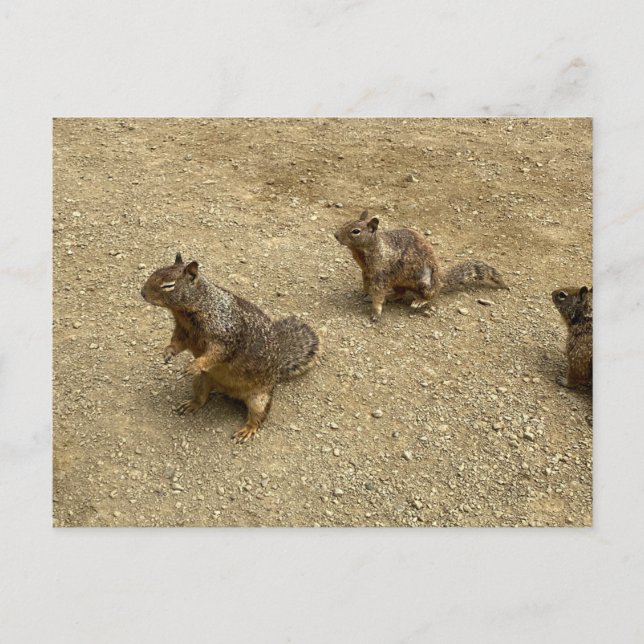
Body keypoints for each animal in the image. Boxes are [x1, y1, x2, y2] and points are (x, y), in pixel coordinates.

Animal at [141, 253, 320, 442]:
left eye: (168, 285)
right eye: (155, 272)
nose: (142, 293)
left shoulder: (225, 338)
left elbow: (215, 354)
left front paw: (195, 365)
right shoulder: (183, 333)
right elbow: (176, 343)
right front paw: (167, 352)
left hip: (260, 398)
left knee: (259, 417)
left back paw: (246, 430)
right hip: (201, 381)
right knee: (202, 398)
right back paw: (191, 405)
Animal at [334, 210, 508, 321]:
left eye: (356, 231)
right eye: (346, 222)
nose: (335, 235)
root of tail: (440, 279)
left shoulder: (380, 276)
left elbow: (378, 295)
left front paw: (375, 312)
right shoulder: (366, 271)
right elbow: (365, 284)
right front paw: (365, 293)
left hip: (425, 282)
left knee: (431, 295)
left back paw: (419, 301)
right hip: (399, 282)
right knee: (401, 292)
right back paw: (391, 296)